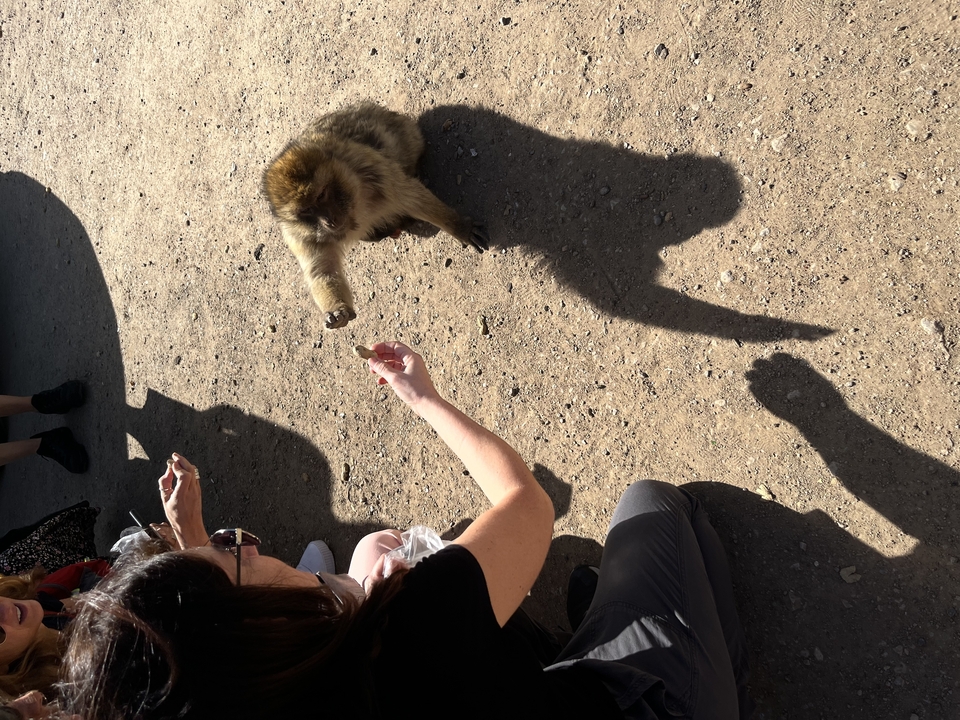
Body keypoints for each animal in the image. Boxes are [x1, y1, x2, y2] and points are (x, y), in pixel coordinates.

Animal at [262, 102, 488, 330]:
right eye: (306, 211)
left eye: (321, 195)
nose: (328, 220)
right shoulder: (298, 235)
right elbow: (322, 270)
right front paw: (338, 310)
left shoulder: (369, 168)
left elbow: (411, 197)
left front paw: (460, 227)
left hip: (407, 134)